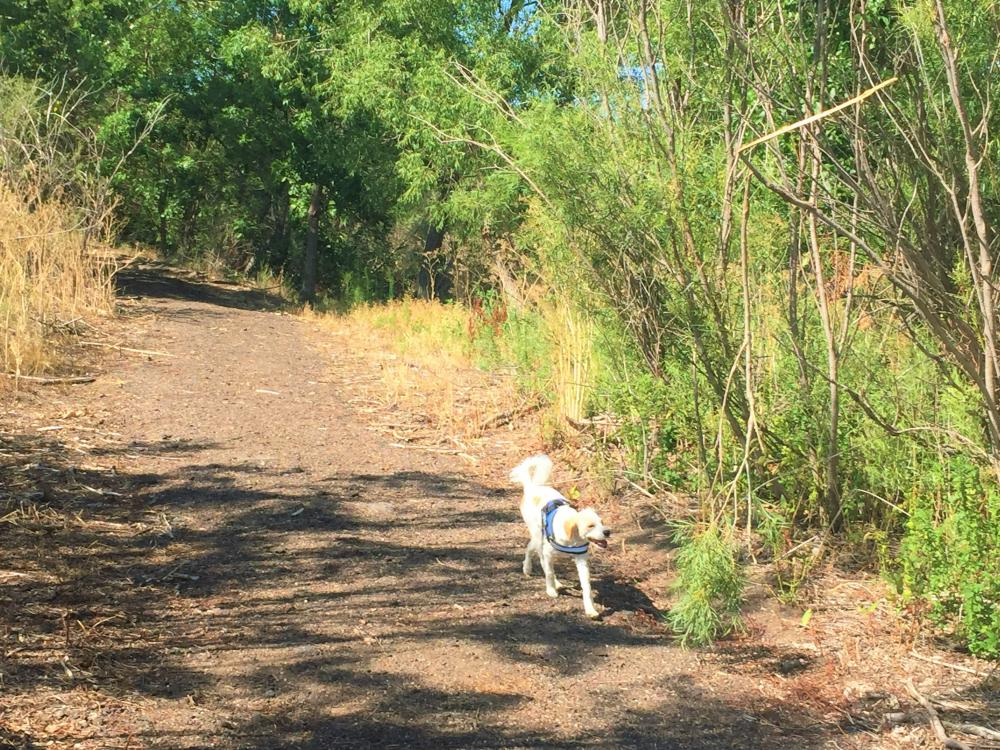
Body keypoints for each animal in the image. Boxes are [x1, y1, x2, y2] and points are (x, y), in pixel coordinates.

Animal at [516, 456, 608, 620]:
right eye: (590, 525)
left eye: (602, 523)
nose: (608, 532)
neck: (572, 538)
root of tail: (532, 488)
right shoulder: (548, 553)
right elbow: (549, 572)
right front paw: (551, 590)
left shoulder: (581, 560)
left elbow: (586, 586)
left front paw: (590, 609)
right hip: (538, 538)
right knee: (533, 552)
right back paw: (528, 568)